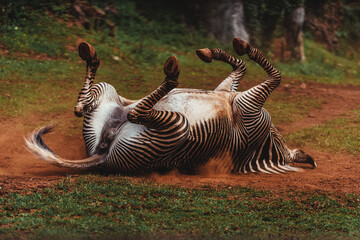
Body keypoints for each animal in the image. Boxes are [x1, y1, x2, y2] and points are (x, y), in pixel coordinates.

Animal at [25, 38, 316, 175]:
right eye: (279, 135)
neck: (266, 144)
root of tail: (102, 157)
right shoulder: (229, 92)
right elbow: (243, 67)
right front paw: (214, 52)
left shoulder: (248, 106)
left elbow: (276, 75)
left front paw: (239, 47)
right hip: (109, 92)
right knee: (84, 106)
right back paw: (90, 55)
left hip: (178, 125)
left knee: (135, 112)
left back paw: (171, 74)